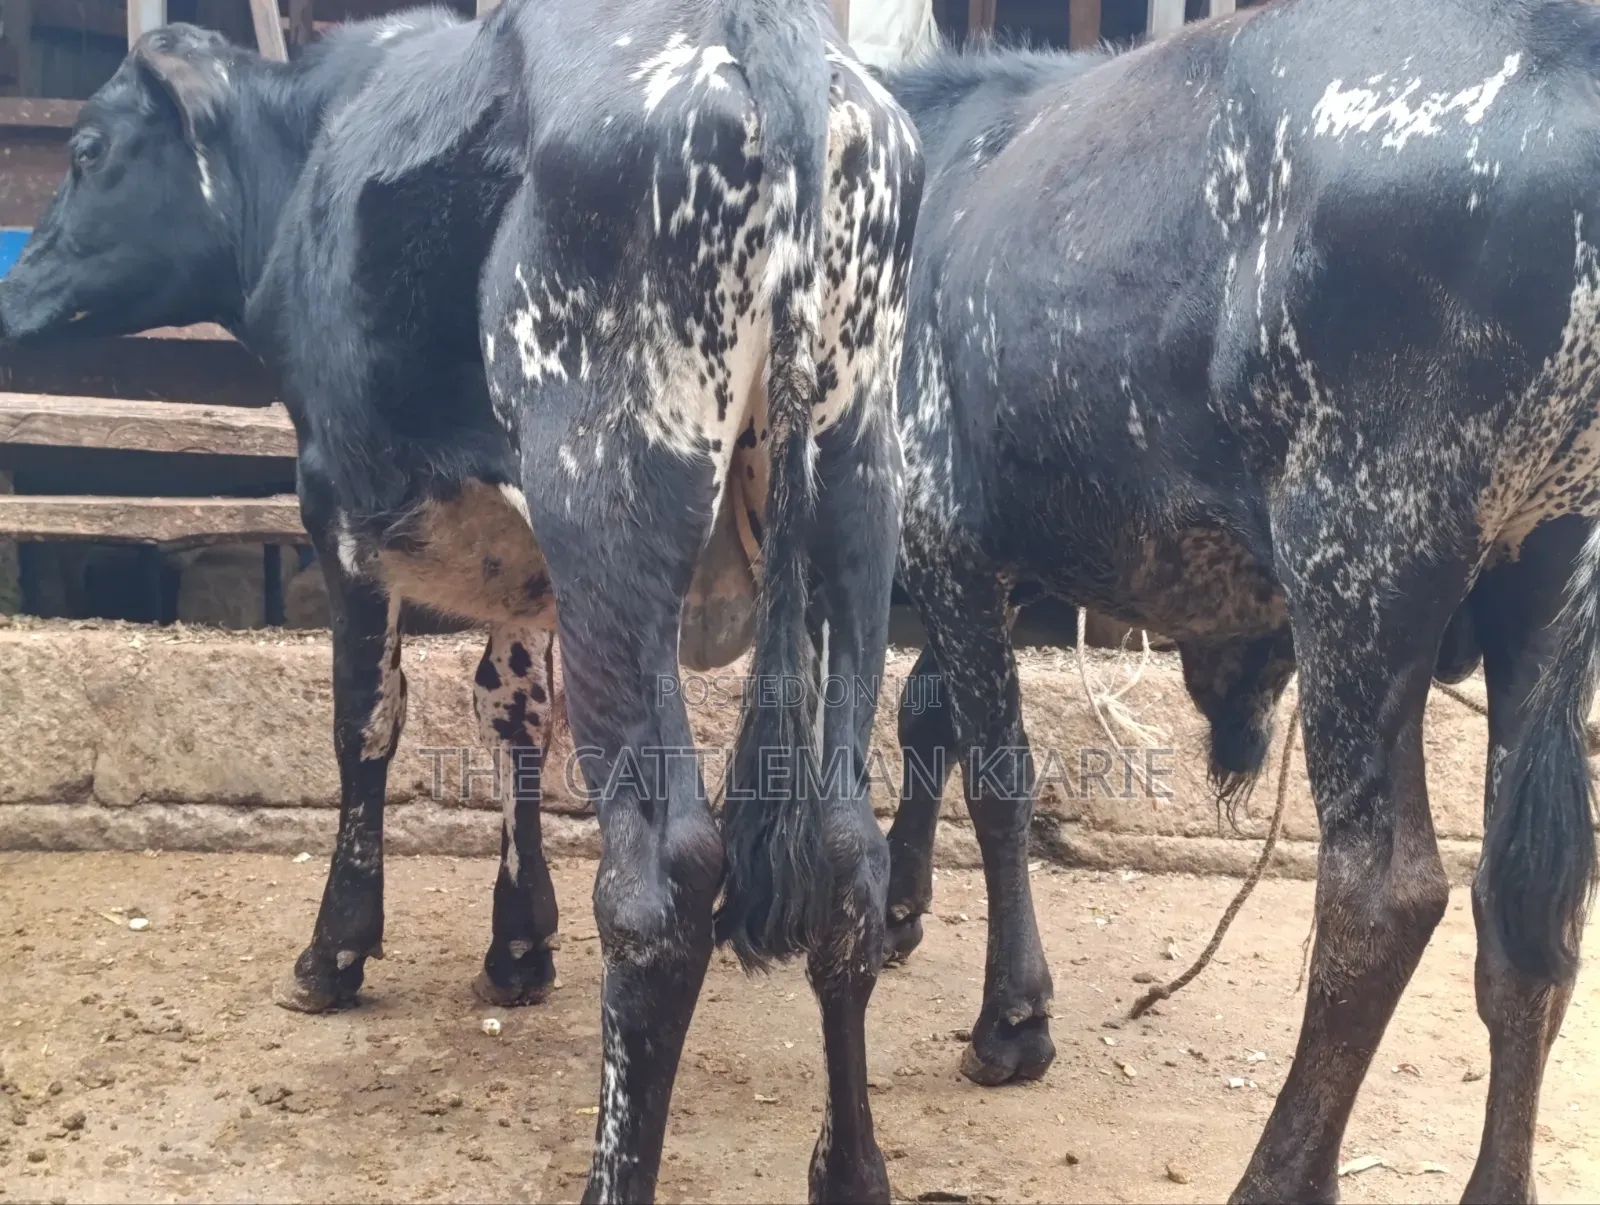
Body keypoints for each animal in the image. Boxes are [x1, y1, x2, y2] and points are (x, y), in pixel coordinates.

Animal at [0, 2, 923, 1199]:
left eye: (87, 150)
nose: (11, 296)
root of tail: (763, 32)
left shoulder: (339, 505)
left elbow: (366, 721)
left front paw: (336, 950)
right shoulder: (518, 561)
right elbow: (512, 709)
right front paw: (518, 940)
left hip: (605, 500)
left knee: (663, 880)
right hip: (855, 497)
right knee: (849, 853)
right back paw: (850, 1168)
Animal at [873, 1, 1597, 1200]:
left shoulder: (943, 532)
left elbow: (996, 772)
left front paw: (1011, 1018)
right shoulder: (995, 559)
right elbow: (928, 715)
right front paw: (898, 908)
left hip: (1362, 567)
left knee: (1384, 895)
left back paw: (1278, 1172)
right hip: (1543, 582)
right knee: (1530, 903)